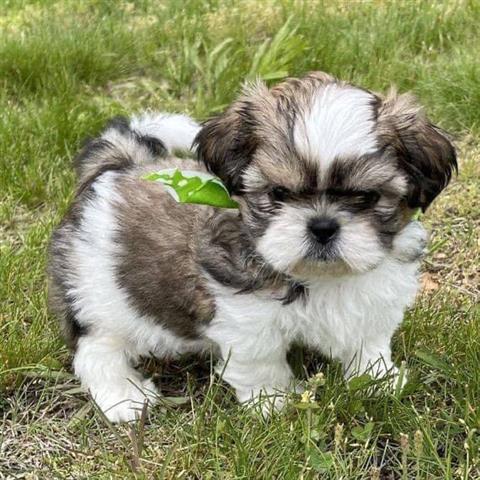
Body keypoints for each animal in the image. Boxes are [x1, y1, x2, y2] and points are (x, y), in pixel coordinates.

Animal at [49, 72, 458, 424]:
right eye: (279, 193)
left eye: (365, 197)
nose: (323, 226)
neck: (320, 276)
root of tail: (118, 165)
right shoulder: (246, 317)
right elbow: (261, 362)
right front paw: (273, 402)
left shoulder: (372, 299)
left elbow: (368, 342)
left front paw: (378, 381)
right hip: (100, 295)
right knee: (95, 348)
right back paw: (123, 395)